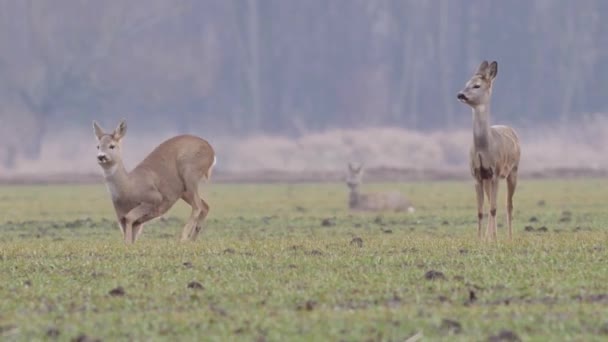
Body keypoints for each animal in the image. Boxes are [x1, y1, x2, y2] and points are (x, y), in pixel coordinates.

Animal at [456, 60, 524, 240]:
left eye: (477, 85)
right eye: (466, 83)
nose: (460, 94)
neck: (483, 149)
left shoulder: (496, 172)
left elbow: (494, 208)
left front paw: (494, 239)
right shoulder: (477, 175)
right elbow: (481, 211)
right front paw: (481, 239)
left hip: (513, 170)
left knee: (508, 205)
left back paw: (509, 237)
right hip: (488, 179)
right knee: (491, 203)